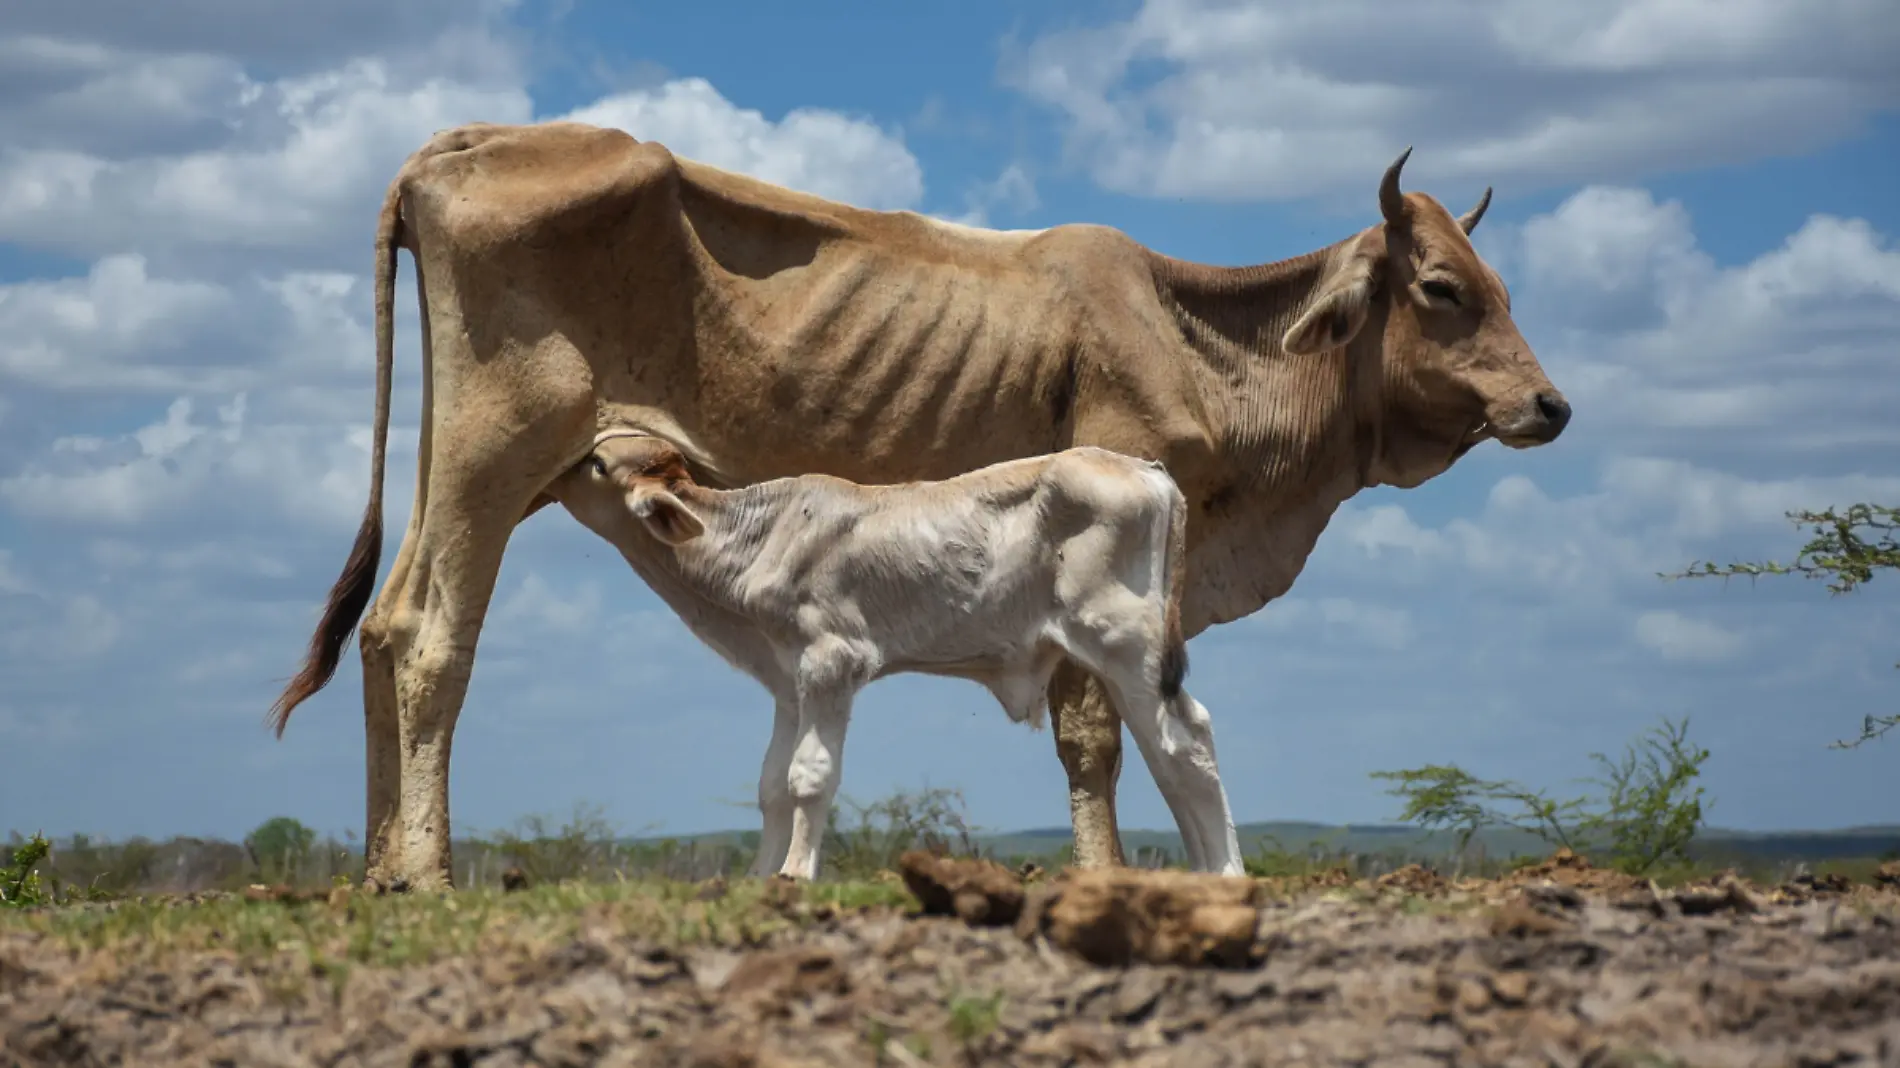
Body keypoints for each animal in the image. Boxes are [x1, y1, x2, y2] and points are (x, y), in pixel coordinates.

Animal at [543, 427, 1246, 877]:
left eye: (597, 465)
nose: (550, 474)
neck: (759, 539)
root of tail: (1146, 470)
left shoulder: (832, 662)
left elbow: (809, 776)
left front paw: (793, 876)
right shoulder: (788, 682)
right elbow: (772, 786)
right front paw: (760, 878)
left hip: (1124, 642)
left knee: (1186, 743)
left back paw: (1227, 873)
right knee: (1166, 752)